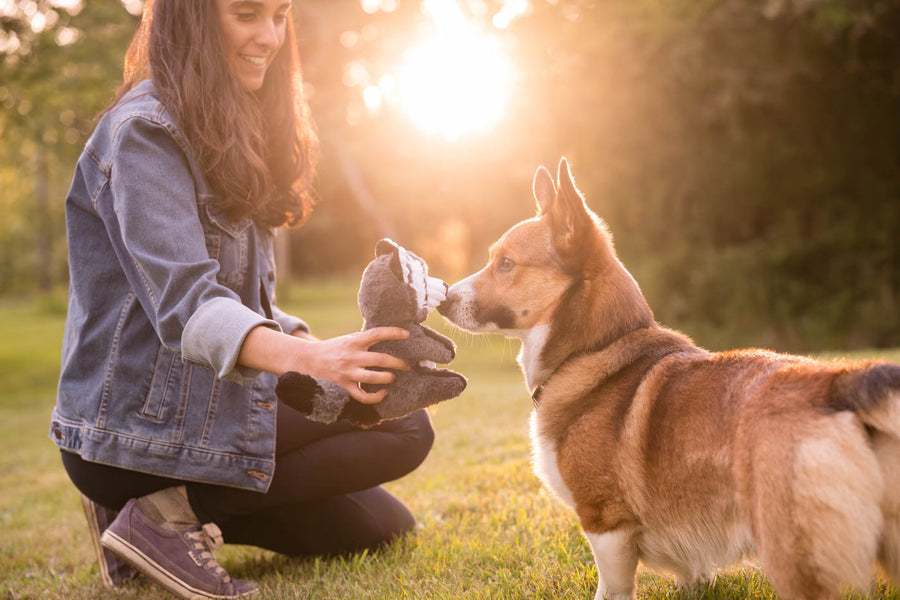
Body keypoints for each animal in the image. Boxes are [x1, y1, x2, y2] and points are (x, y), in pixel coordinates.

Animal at [438, 159, 900, 600]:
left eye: (506, 264)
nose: (441, 298)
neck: (594, 348)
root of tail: (841, 382)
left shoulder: (607, 524)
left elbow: (610, 589)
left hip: (789, 553)